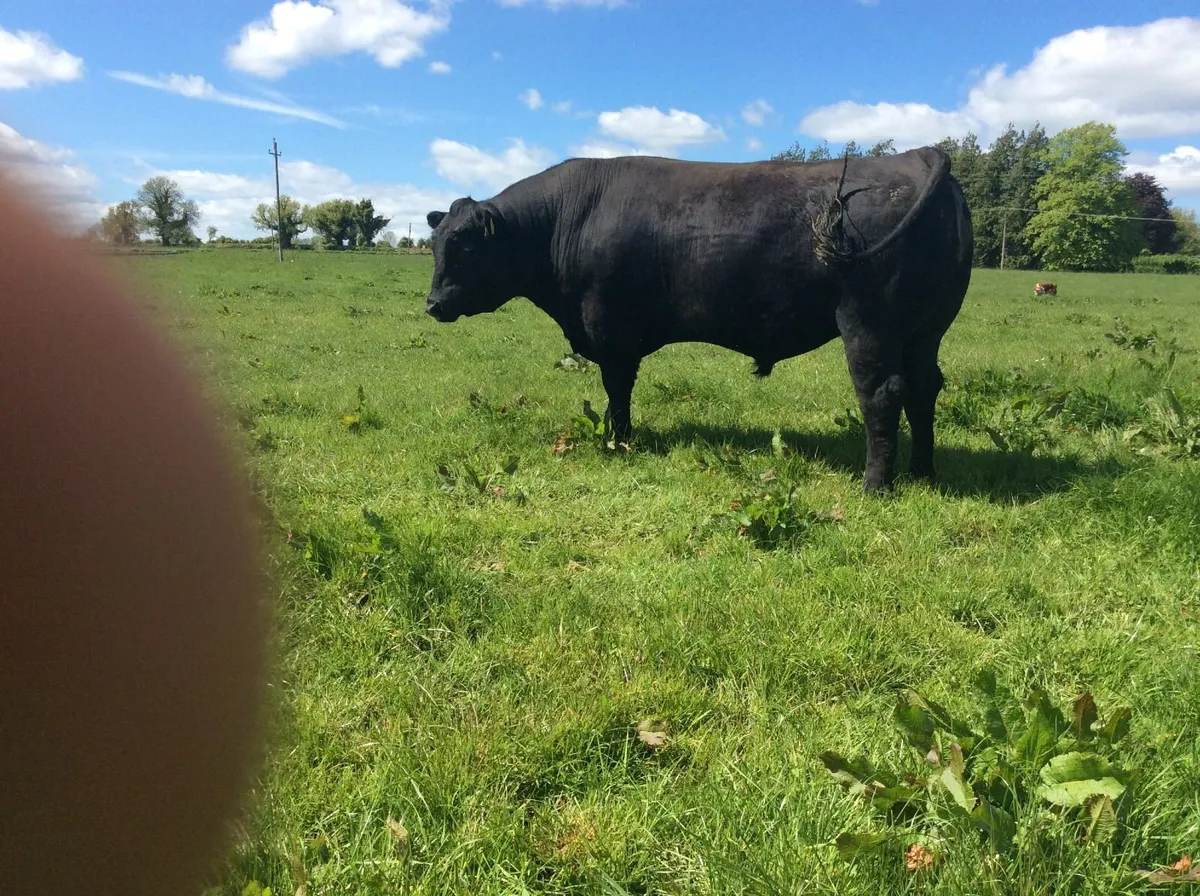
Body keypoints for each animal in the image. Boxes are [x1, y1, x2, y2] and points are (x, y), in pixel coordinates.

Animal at [424, 147, 973, 493]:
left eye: (465, 246)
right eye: (435, 242)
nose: (432, 304)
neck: (566, 219)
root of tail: (918, 155)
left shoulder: (611, 332)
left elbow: (617, 390)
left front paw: (619, 440)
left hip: (868, 323)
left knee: (882, 394)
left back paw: (875, 485)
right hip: (925, 330)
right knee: (924, 388)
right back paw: (922, 472)